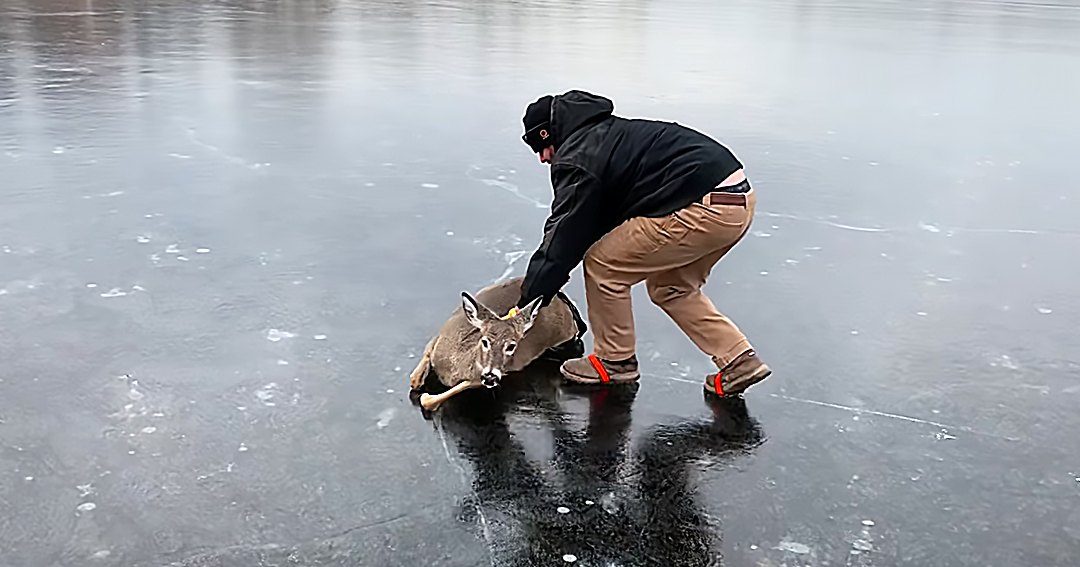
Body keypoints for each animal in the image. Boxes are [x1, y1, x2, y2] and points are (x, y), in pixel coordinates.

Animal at [408, 276, 586, 412]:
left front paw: (427, 397)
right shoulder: (439, 336)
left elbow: (430, 400)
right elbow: (415, 378)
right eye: (485, 341)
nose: (490, 376)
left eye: (512, 346)